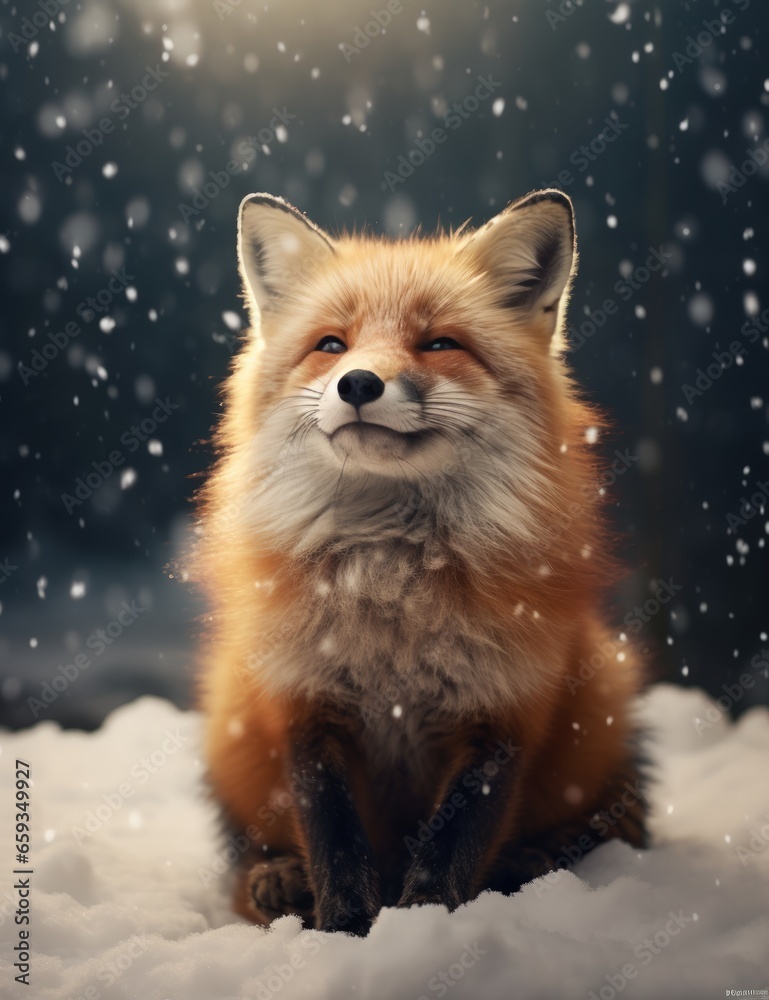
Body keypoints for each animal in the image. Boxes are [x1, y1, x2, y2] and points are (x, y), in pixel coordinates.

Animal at [194, 188, 648, 936]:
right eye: (331, 345)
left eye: (439, 344)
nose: (357, 383)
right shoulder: (305, 705)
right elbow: (335, 845)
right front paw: (346, 934)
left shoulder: (504, 711)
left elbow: (450, 853)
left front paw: (420, 932)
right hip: (230, 712)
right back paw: (278, 879)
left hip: (603, 693)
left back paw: (529, 863)